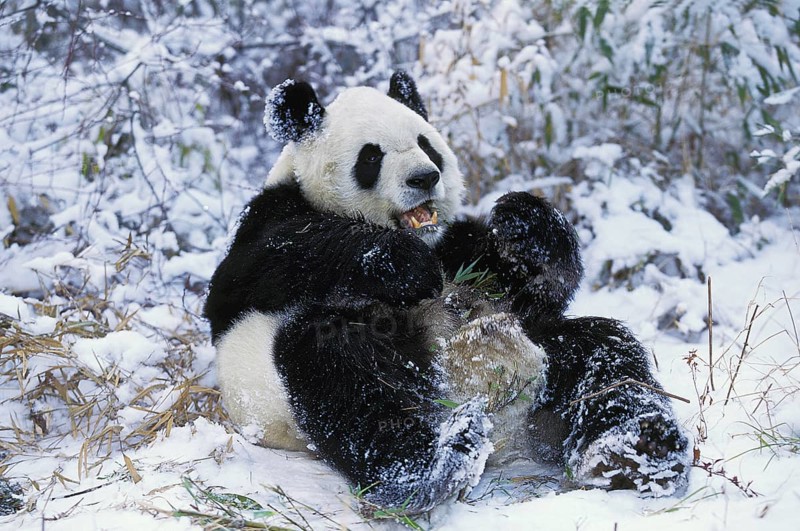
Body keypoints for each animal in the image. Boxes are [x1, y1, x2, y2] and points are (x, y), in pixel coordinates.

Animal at [204, 71, 689, 514]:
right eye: (371, 156)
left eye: (427, 143)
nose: (424, 178)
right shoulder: (267, 221)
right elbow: (268, 261)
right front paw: (400, 264)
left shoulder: (457, 246)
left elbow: (531, 288)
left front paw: (525, 224)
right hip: (285, 384)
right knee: (345, 374)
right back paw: (436, 466)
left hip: (550, 353)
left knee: (606, 354)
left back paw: (637, 450)